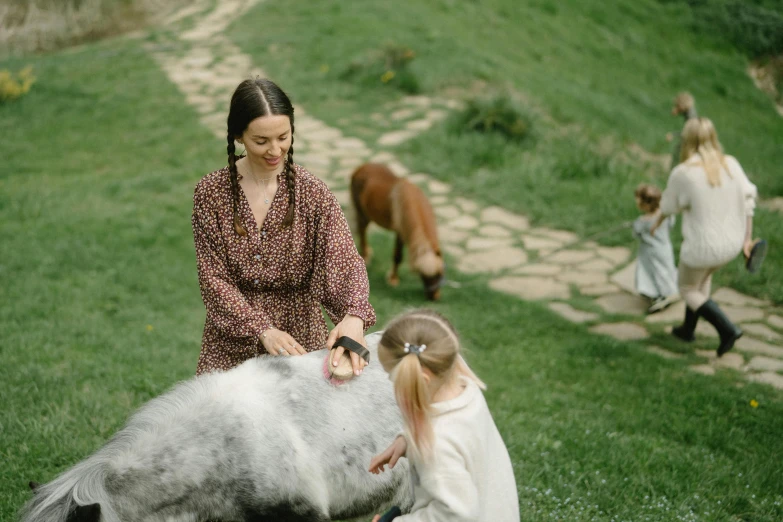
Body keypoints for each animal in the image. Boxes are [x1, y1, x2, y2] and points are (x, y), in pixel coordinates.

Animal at [352, 162, 444, 300]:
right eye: (423, 275)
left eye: (439, 273)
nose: (434, 297)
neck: (409, 201)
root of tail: (361, 167)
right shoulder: (400, 233)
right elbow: (397, 256)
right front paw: (393, 279)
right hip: (361, 213)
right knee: (362, 231)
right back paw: (365, 256)